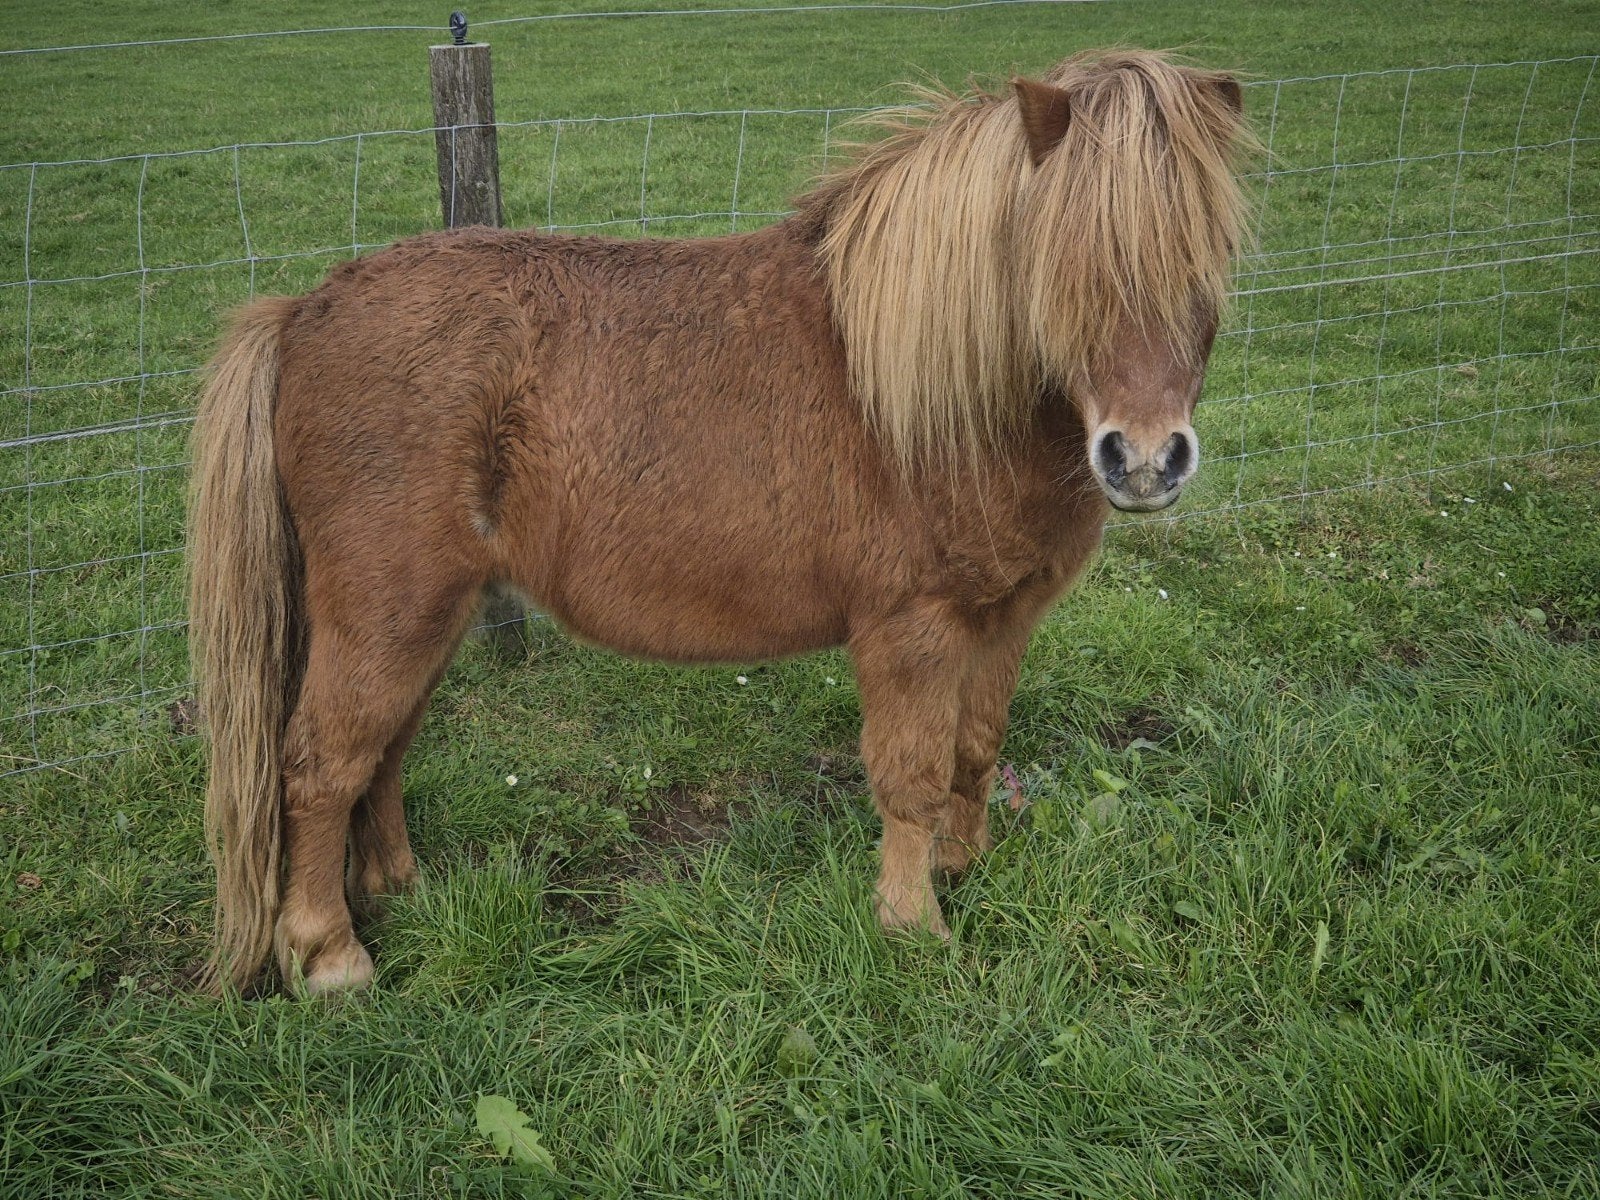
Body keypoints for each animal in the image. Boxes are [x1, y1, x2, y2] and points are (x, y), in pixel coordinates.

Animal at [188, 49, 1250, 995]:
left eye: (1212, 258)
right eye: (1068, 264)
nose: (1145, 461)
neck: (938, 391)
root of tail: (306, 311)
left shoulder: (1006, 619)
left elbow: (975, 750)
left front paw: (965, 870)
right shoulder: (911, 629)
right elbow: (909, 774)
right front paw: (914, 928)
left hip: (429, 617)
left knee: (383, 752)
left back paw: (399, 893)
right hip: (388, 614)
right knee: (322, 764)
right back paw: (330, 955)